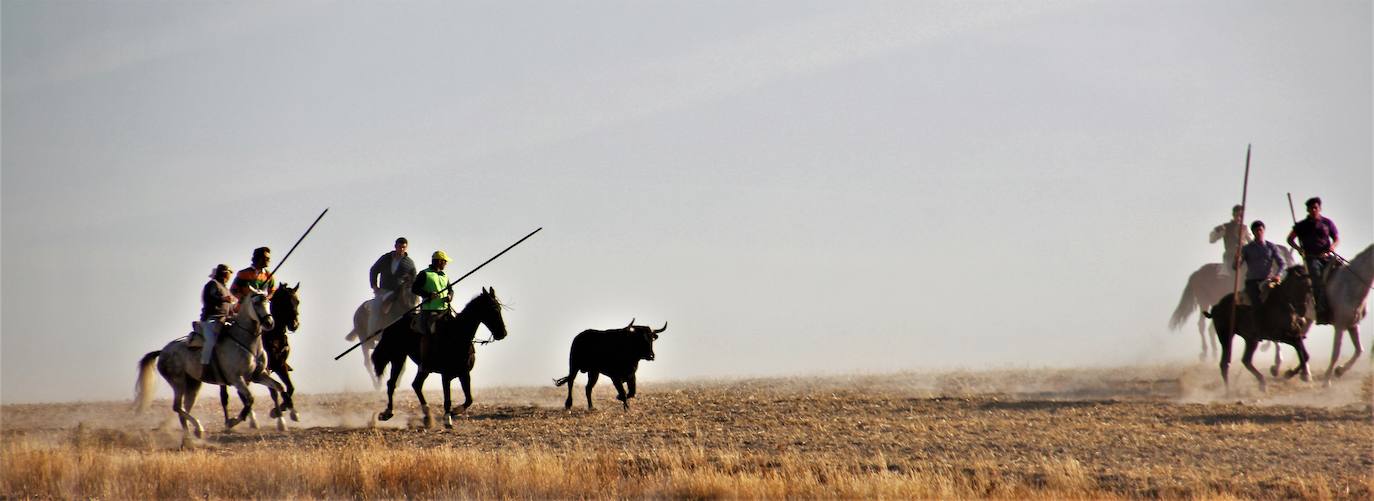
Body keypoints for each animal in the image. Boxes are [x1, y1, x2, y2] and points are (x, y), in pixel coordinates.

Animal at [133, 290, 287, 436]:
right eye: (256, 303)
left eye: (268, 301)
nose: (269, 323)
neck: (246, 343)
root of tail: (163, 351)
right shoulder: (237, 379)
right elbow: (250, 398)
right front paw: (231, 422)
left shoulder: (258, 376)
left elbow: (280, 387)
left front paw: (278, 414)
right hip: (178, 383)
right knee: (177, 407)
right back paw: (198, 428)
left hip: (193, 384)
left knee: (183, 409)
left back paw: (190, 436)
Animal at [373, 286, 508, 428]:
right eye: (493, 309)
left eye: (499, 308)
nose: (502, 333)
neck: (457, 335)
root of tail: (391, 325)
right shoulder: (446, 375)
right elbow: (447, 398)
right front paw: (448, 419)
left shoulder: (464, 373)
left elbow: (469, 399)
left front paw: (453, 412)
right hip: (398, 358)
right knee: (392, 383)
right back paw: (387, 413)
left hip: (422, 367)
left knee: (416, 385)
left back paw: (427, 416)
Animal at [1313, 241, 1368, 381]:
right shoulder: (1340, 325)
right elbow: (1336, 353)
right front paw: (1327, 379)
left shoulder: (1353, 324)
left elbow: (1359, 350)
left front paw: (1339, 371)